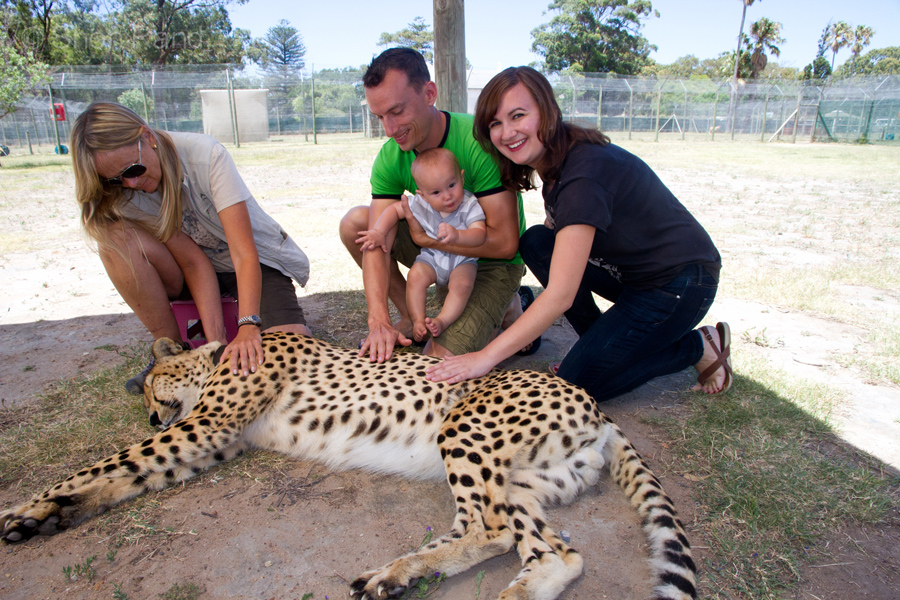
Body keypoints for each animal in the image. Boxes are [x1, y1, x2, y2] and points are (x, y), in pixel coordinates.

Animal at [0, 332, 696, 600]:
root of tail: (594, 402)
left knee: (490, 529)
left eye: (151, 385)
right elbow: (123, 474)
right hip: (524, 481)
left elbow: (102, 463)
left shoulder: (204, 426)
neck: (219, 356)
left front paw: (23, 507)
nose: (148, 415)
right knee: (556, 552)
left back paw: (408, 575)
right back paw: (402, 577)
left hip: (464, 429)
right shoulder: (207, 444)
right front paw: (45, 517)